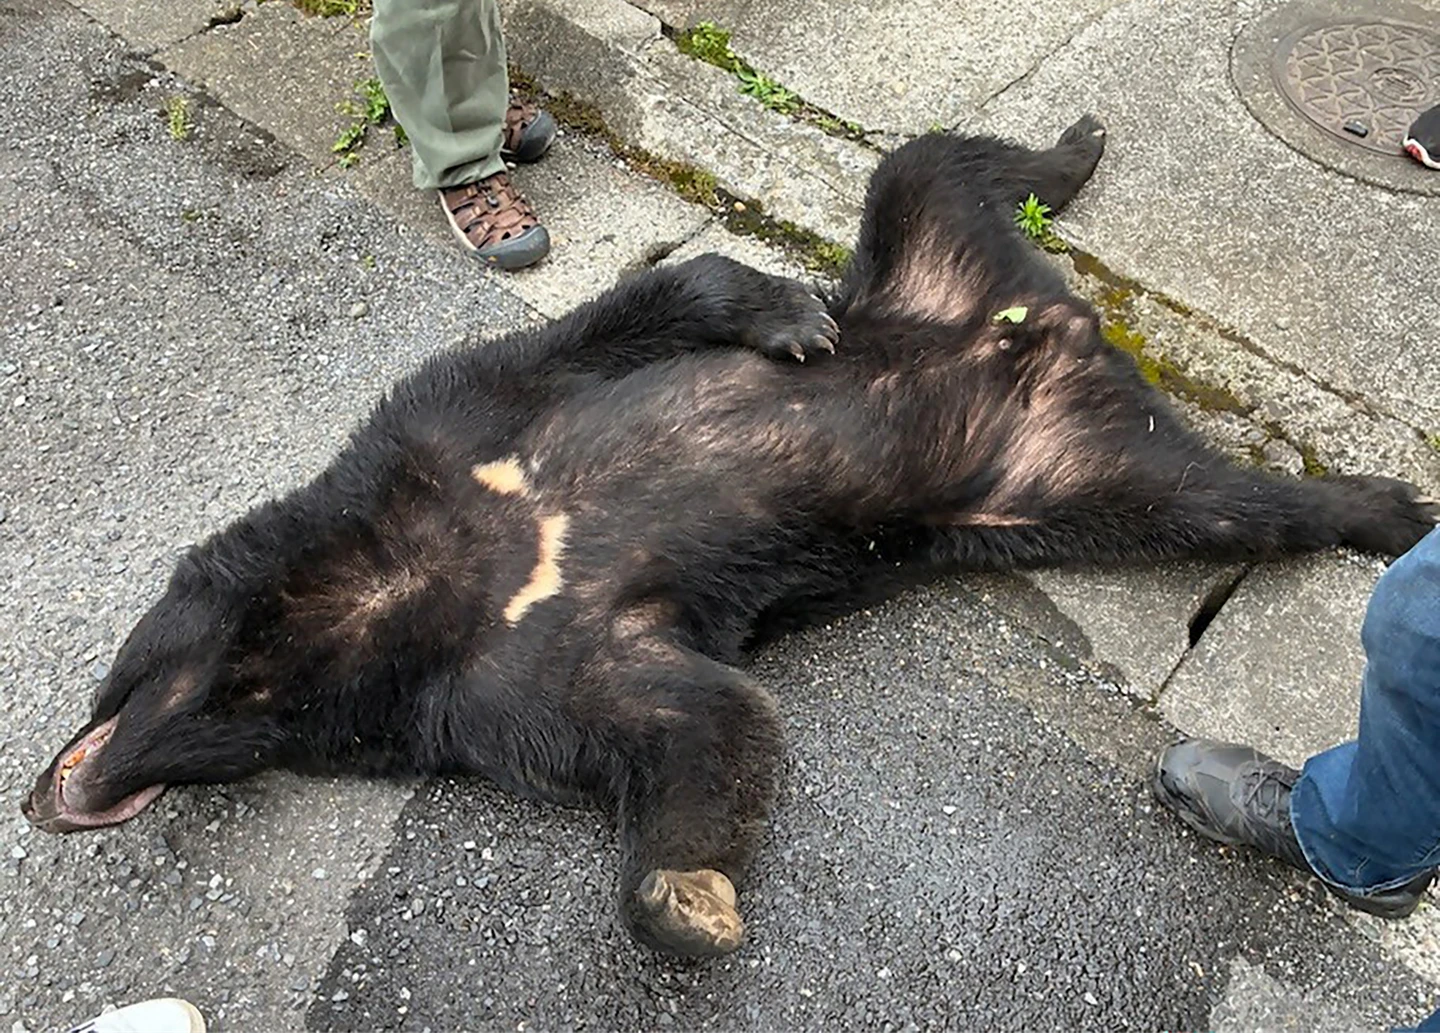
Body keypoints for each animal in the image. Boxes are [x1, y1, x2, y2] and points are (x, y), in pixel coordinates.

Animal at [23, 116, 1436, 958]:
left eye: (117, 673)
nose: (53, 795)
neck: (400, 588)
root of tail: (1052, 325)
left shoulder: (449, 424)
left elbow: (628, 312)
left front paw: (787, 321)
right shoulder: (492, 684)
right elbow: (696, 719)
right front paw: (686, 900)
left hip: (923, 262)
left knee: (931, 161)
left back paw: (1078, 152)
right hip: (1070, 477)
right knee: (1226, 500)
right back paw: (1378, 504)